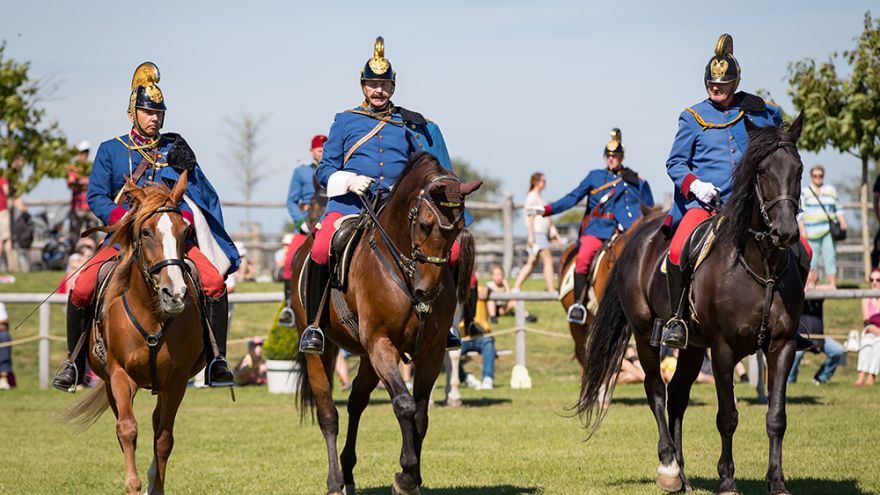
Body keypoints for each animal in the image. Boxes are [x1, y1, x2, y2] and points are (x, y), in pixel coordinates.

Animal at [62, 171, 206, 495]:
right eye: (147, 233)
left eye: (185, 231)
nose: (175, 294)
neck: (152, 314)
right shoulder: (119, 375)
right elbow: (127, 429)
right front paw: (132, 485)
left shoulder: (176, 380)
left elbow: (164, 438)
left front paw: (156, 485)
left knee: (156, 424)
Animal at [290, 152, 482, 495]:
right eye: (424, 225)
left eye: (458, 228)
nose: (427, 291)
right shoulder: (382, 344)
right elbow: (404, 404)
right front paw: (406, 473)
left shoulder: (430, 352)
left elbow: (420, 413)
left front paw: (412, 476)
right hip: (322, 352)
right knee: (328, 414)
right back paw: (335, 481)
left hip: (368, 358)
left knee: (356, 402)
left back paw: (349, 472)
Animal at [576, 114, 808, 494]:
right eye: (761, 171)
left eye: (799, 169)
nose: (785, 232)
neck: (759, 267)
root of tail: (634, 236)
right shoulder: (723, 349)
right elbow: (727, 416)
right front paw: (727, 480)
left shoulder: (782, 346)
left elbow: (777, 417)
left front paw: (777, 482)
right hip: (645, 333)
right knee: (656, 390)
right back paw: (669, 467)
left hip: (693, 346)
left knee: (678, 395)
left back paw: (682, 473)